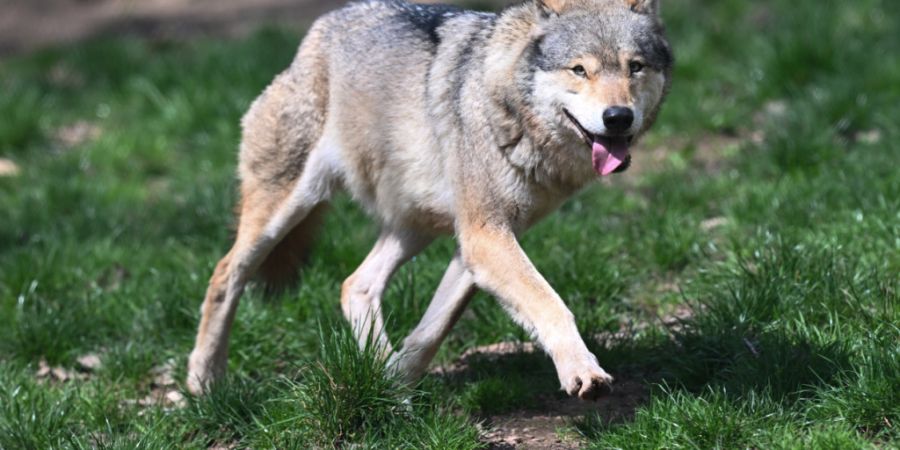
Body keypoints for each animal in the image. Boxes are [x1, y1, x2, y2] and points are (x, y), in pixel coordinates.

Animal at [187, 0, 672, 400]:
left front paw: (395, 388)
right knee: (225, 274)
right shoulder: (485, 237)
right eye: (579, 70)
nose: (618, 117)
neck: (508, 107)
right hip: (284, 212)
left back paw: (378, 373)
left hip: (416, 226)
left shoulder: (477, 244)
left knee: (355, 284)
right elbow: (551, 304)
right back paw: (204, 382)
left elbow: (431, 332)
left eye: (635, 67)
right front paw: (582, 371)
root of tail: (318, 31)